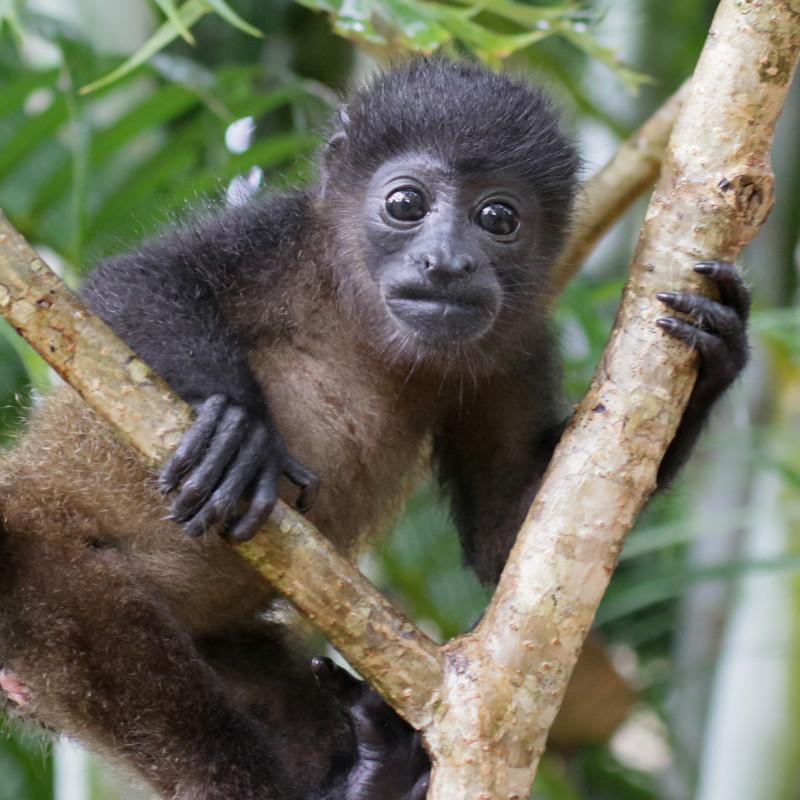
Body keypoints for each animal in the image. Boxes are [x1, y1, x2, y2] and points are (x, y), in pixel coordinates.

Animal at [0, 59, 752, 796]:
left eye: (498, 217)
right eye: (405, 205)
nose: (446, 262)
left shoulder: (518, 345)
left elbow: (508, 539)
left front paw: (715, 359)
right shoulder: (280, 236)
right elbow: (132, 284)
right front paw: (237, 429)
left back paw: (372, 772)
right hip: (49, 582)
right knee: (160, 700)